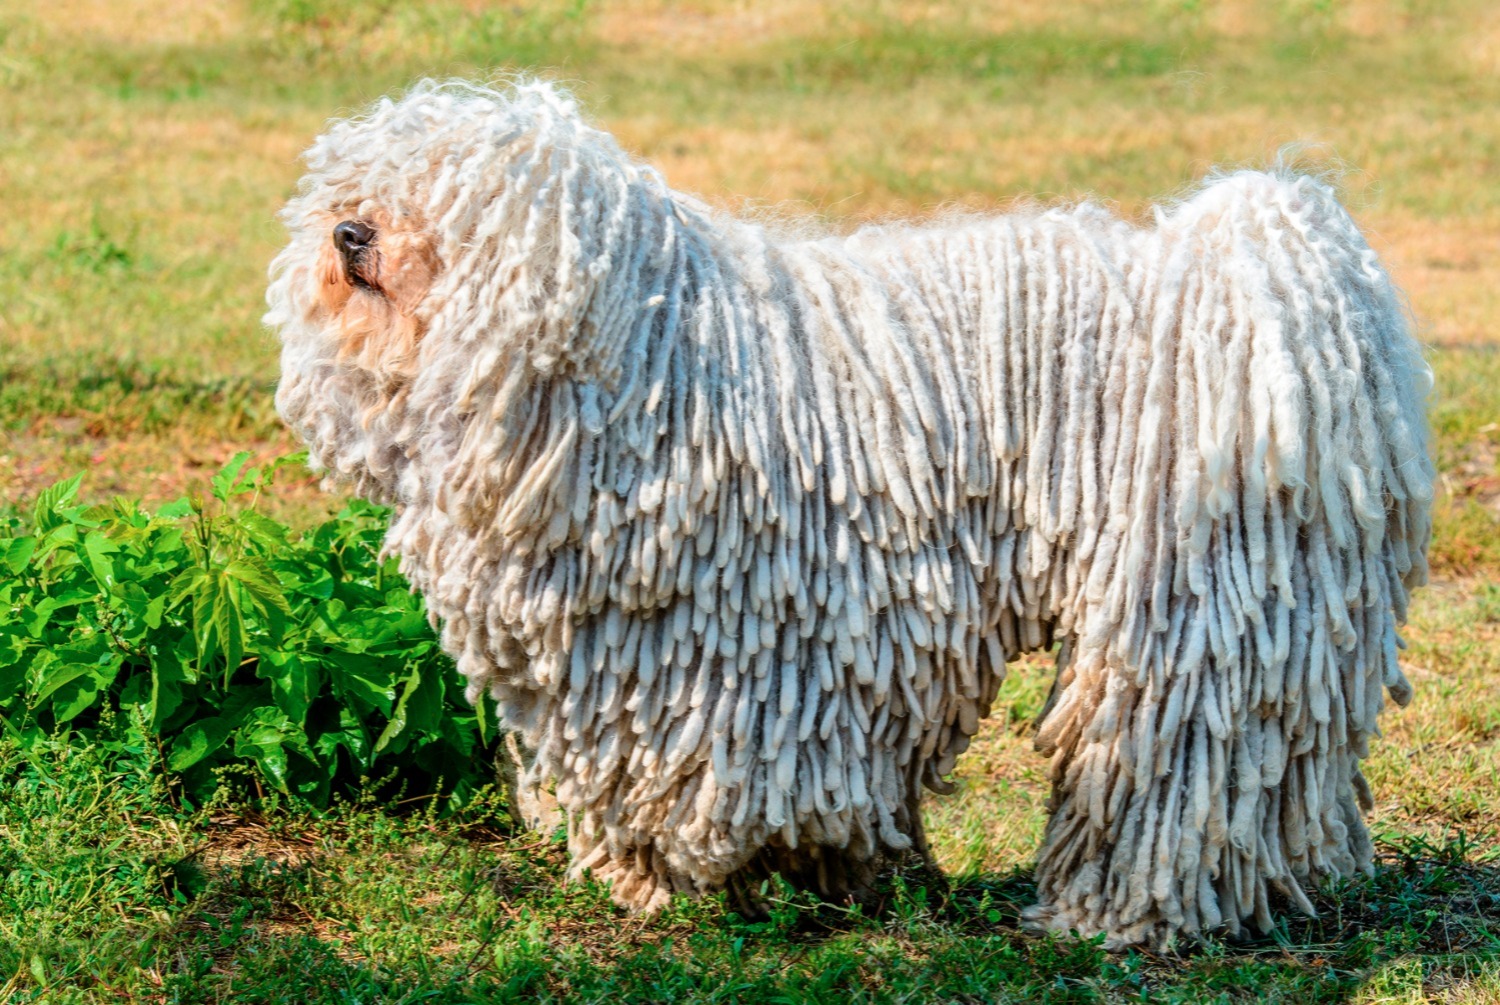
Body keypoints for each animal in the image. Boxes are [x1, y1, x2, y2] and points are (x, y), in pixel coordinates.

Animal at [267, 80, 1428, 954]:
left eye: (448, 203)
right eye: (358, 185)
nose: (349, 232)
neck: (637, 361)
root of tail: (1271, 281)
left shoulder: (739, 646)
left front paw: (717, 880)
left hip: (1188, 602)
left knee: (1174, 759)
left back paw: (1123, 914)